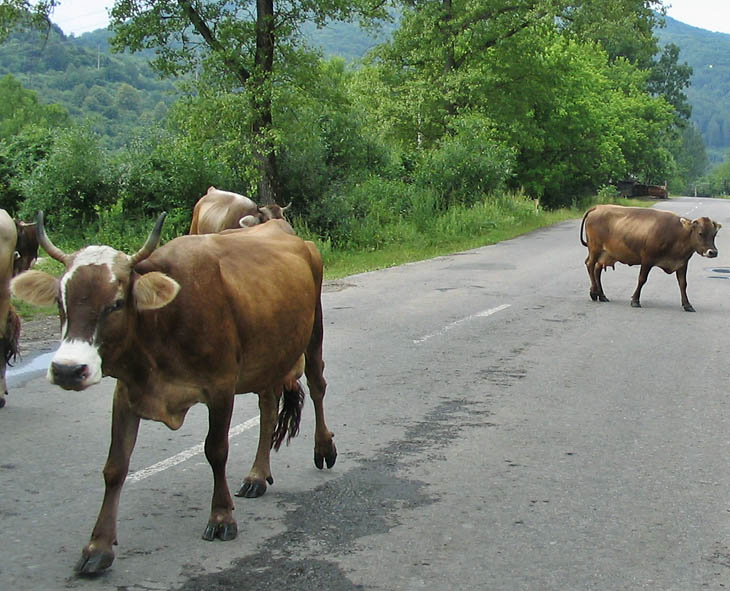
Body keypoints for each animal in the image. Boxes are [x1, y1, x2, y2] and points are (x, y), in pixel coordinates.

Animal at [12, 215, 336, 576]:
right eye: (60, 301)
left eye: (116, 303)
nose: (68, 370)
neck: (161, 322)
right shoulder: (126, 393)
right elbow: (115, 467)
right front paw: (98, 546)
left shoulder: (221, 387)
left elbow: (216, 451)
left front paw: (221, 517)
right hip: (268, 355)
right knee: (268, 405)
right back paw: (257, 475)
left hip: (313, 332)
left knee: (317, 385)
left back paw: (323, 447)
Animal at [576, 205, 720, 312]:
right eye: (700, 233)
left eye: (714, 235)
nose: (713, 252)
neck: (677, 235)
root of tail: (598, 207)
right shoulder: (647, 259)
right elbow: (642, 279)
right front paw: (635, 300)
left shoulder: (682, 263)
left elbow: (683, 284)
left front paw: (687, 304)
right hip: (594, 249)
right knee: (590, 265)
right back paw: (594, 292)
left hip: (605, 254)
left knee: (597, 270)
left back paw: (601, 295)